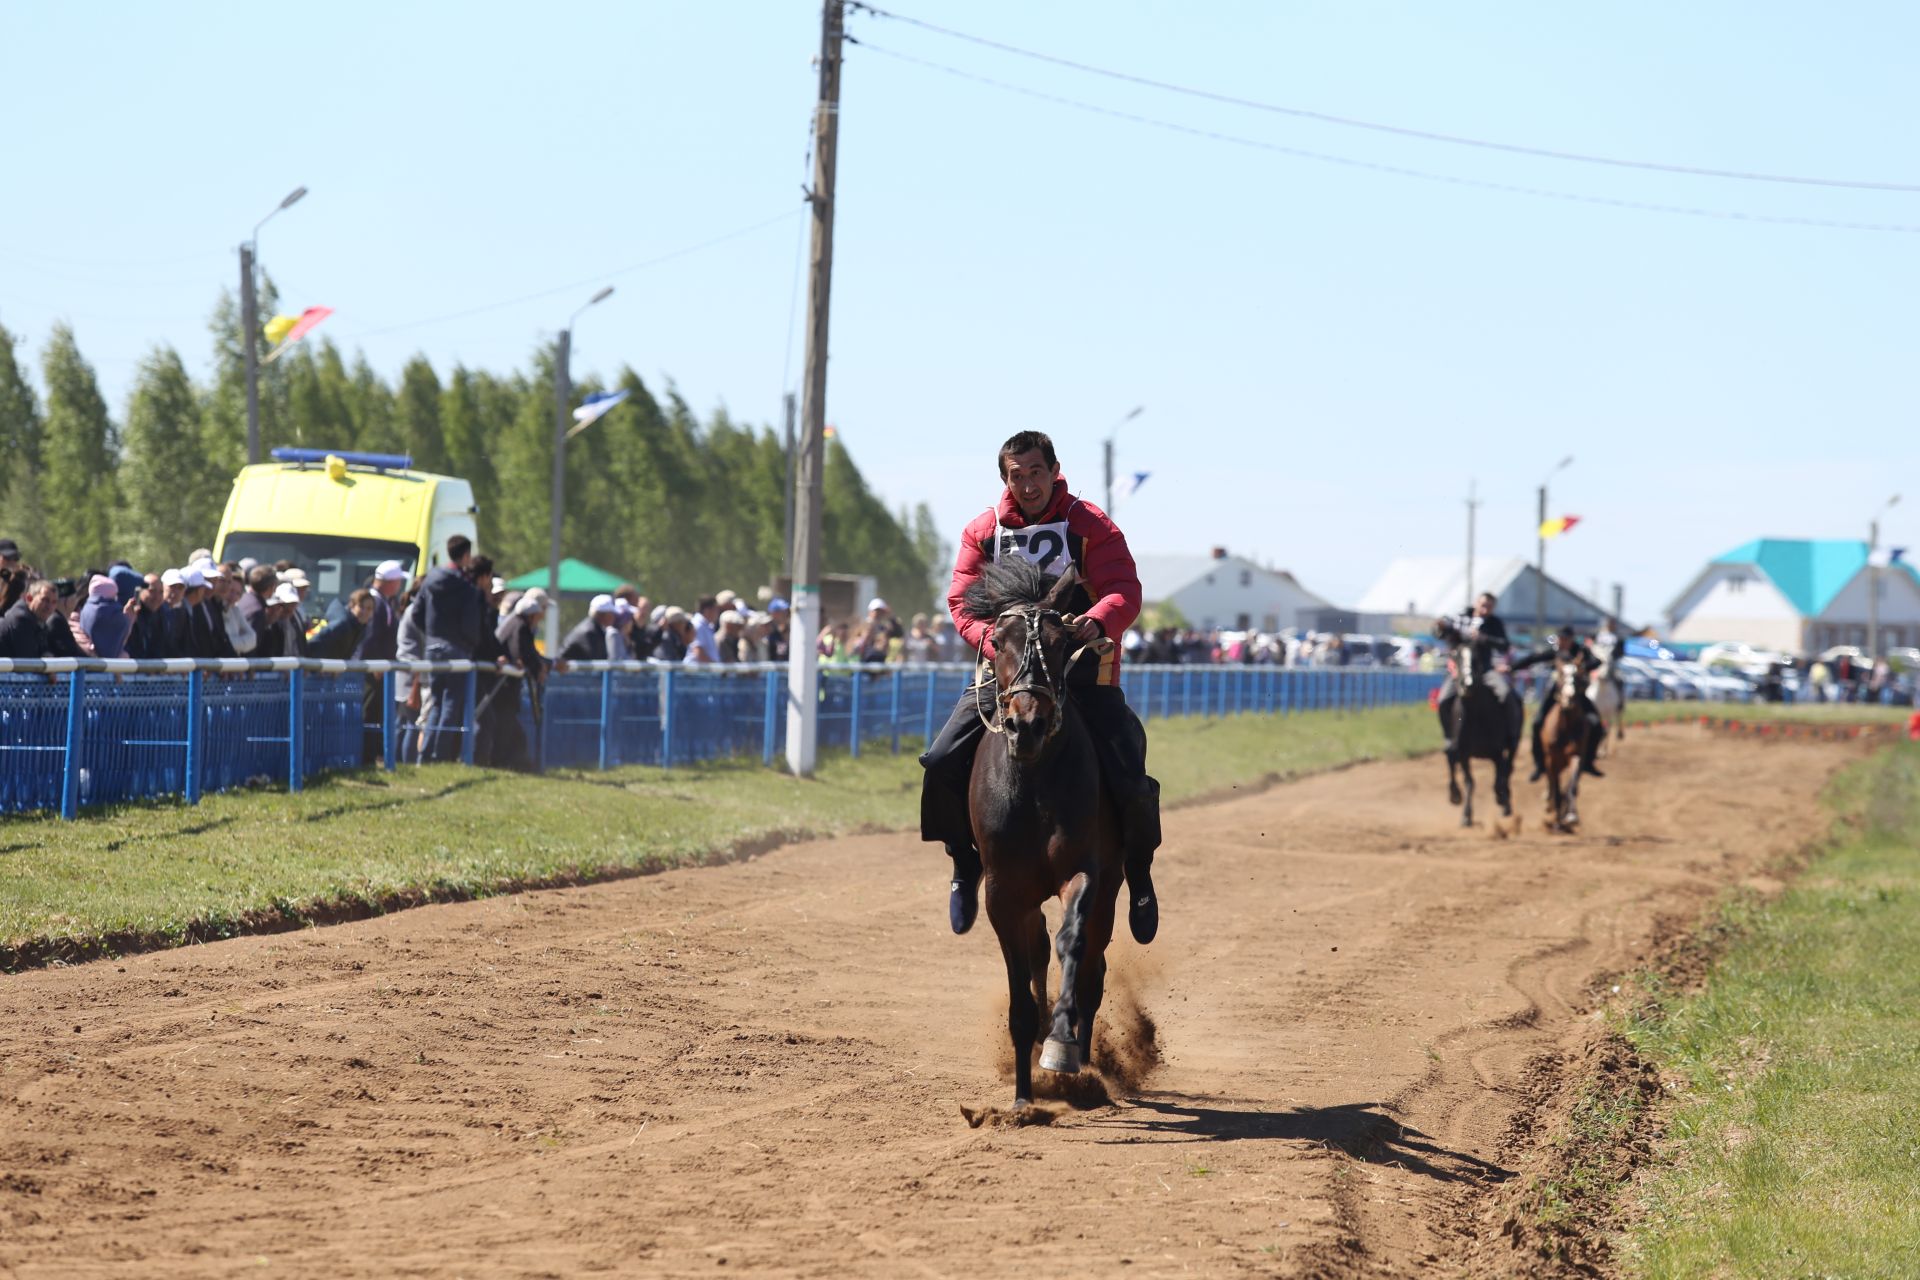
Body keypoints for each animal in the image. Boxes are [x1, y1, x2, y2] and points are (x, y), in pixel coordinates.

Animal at [960, 560, 1121, 1113]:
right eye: (996, 642)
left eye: (1060, 641)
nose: (1026, 724)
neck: (1033, 782)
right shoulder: (1003, 892)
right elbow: (1022, 989)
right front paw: (1022, 1100)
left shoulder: (1083, 872)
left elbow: (1073, 944)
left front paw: (1061, 1048)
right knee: (1037, 952)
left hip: (1112, 890)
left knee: (1090, 967)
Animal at [1436, 621, 1520, 832]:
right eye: (1456, 656)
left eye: (1476, 658)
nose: (1467, 684)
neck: (1477, 717)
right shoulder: (1464, 753)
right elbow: (1469, 782)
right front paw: (1466, 816)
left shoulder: (1497, 752)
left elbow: (1499, 778)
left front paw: (1502, 799)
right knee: (1451, 760)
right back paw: (1455, 795)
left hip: (1513, 743)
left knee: (1509, 768)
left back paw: (1505, 802)